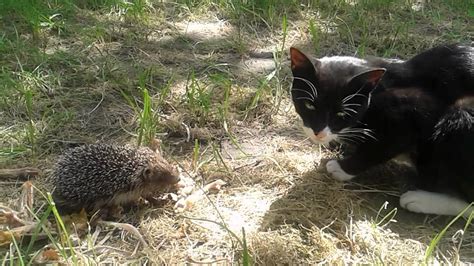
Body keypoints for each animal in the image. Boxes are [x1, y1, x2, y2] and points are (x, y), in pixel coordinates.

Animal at [288, 44, 474, 216]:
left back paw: (419, 200)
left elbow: (380, 148)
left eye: (341, 113)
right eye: (309, 105)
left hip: (460, 116)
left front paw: (341, 168)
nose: (318, 132)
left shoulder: (410, 112)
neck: (377, 90)